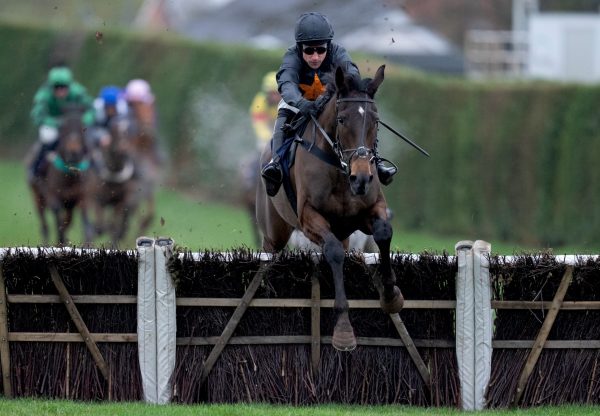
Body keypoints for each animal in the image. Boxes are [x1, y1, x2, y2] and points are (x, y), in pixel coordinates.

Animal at [254, 66, 404, 352]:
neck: (341, 171)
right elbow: (333, 252)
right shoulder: (309, 217)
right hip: (273, 232)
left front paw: (391, 295)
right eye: (342, 120)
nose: (361, 178)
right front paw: (344, 330)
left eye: (376, 121)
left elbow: (384, 233)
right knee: (269, 255)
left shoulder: (371, 210)